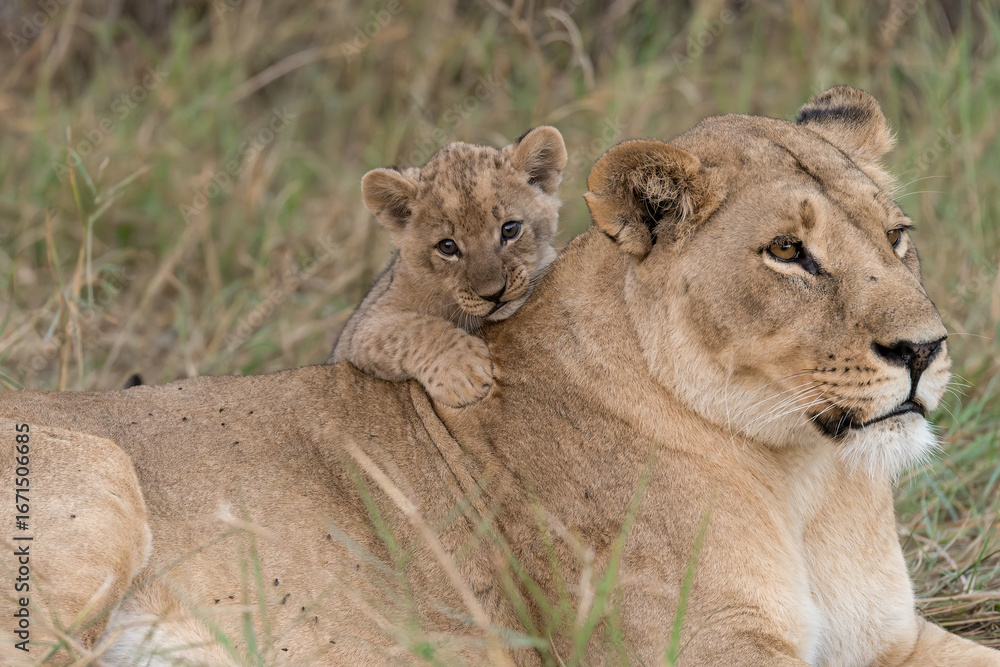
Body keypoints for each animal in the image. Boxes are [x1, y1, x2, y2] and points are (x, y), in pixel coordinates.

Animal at [330, 126, 567, 408]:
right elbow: (414, 329)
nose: (494, 294)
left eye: (510, 229)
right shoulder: (365, 329)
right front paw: (464, 371)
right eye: (447, 247)